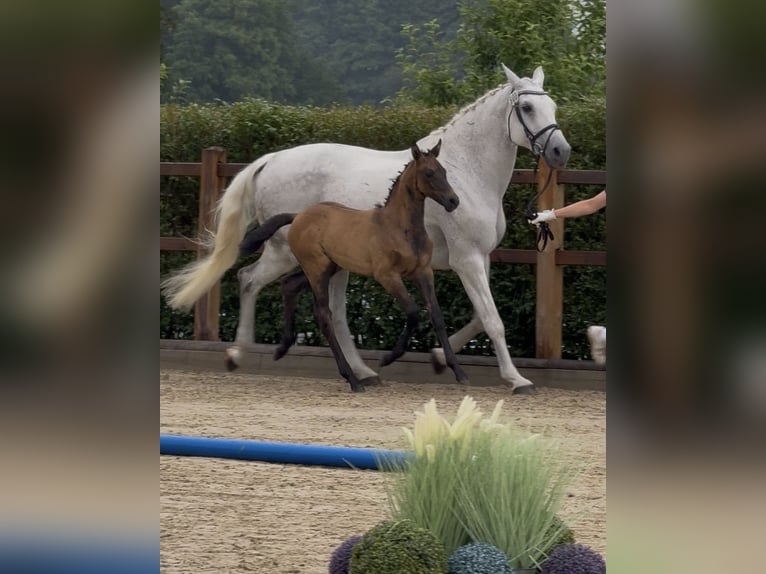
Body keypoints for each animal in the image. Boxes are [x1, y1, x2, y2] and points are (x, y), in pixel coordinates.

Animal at [237, 141, 467, 392]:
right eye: (428, 173)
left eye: (444, 171)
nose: (453, 201)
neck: (399, 227)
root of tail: (298, 216)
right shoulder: (387, 275)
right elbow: (414, 312)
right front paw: (388, 358)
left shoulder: (423, 273)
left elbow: (437, 317)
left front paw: (459, 372)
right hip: (316, 269)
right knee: (323, 314)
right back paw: (353, 379)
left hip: (328, 267)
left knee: (289, 284)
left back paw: (283, 348)